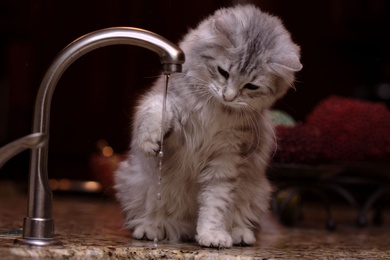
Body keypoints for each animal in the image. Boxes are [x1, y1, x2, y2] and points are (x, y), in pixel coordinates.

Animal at [113, 4, 302, 248]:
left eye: (251, 86)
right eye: (223, 72)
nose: (228, 96)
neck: (216, 109)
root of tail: (184, 226)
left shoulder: (226, 157)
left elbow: (214, 205)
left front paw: (212, 236)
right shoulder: (175, 122)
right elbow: (156, 109)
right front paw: (149, 142)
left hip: (258, 193)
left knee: (239, 219)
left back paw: (239, 235)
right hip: (134, 182)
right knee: (150, 218)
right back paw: (152, 229)